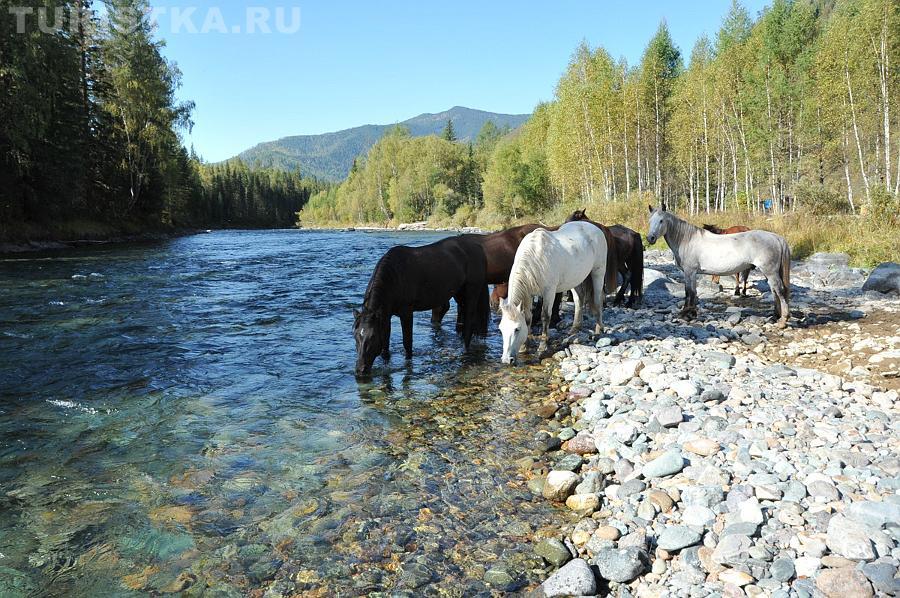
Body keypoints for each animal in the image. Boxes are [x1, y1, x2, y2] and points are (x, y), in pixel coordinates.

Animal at [354, 237, 492, 378]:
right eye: (355, 336)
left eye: (372, 337)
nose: (360, 370)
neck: (395, 277)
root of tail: (477, 247)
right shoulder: (385, 316)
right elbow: (385, 346)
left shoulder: (406, 313)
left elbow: (407, 343)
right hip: (459, 294)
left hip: (472, 293)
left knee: (468, 326)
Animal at [496, 219, 608, 364]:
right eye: (501, 329)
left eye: (517, 329)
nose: (506, 360)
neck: (535, 258)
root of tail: (594, 227)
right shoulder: (528, 294)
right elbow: (528, 317)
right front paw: (524, 347)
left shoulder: (549, 291)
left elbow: (545, 316)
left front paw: (542, 347)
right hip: (574, 279)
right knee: (579, 299)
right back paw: (574, 329)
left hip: (598, 272)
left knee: (597, 300)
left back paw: (598, 330)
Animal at [644, 206, 792, 328]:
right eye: (650, 220)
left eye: (661, 220)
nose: (650, 238)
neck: (687, 240)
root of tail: (776, 238)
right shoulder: (692, 273)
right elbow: (692, 292)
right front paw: (691, 313)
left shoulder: (689, 271)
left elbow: (689, 292)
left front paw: (685, 314)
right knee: (774, 290)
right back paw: (775, 316)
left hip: (770, 271)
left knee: (779, 290)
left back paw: (783, 321)